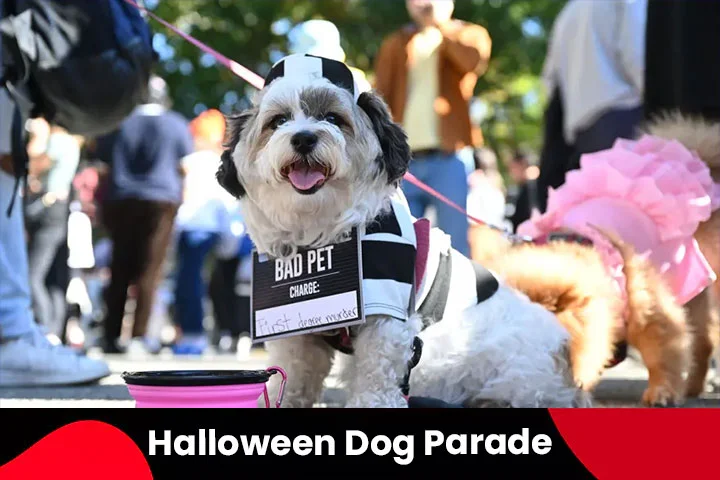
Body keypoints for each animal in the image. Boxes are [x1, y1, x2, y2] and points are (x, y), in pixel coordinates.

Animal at [217, 56, 588, 408]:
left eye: (333, 118)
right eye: (278, 122)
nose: (304, 137)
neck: (325, 231)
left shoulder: (387, 316)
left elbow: (377, 375)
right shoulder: (300, 331)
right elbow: (295, 374)